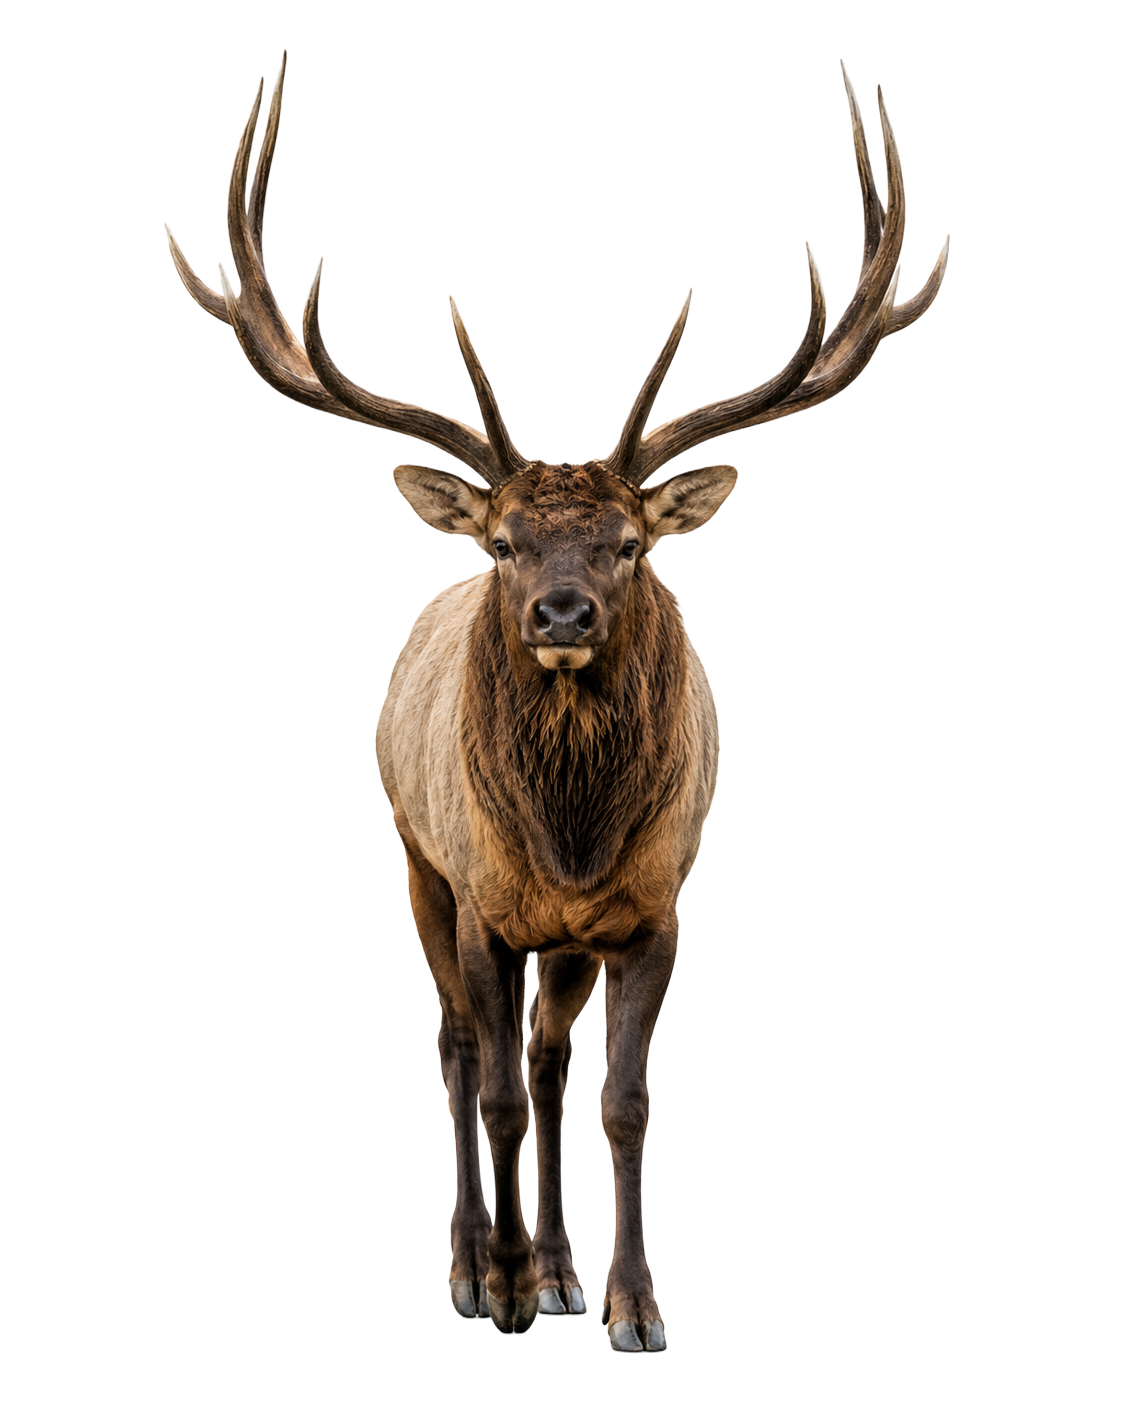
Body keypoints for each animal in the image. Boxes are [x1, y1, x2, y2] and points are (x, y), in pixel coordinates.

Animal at [166, 54, 946, 1351]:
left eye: (631, 542)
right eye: (502, 542)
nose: (563, 612)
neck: (569, 841)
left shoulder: (654, 909)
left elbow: (623, 1097)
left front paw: (631, 1300)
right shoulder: (483, 900)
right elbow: (485, 1088)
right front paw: (500, 1284)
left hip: (560, 940)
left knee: (546, 1059)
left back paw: (566, 1263)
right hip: (415, 859)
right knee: (458, 1051)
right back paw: (478, 1259)